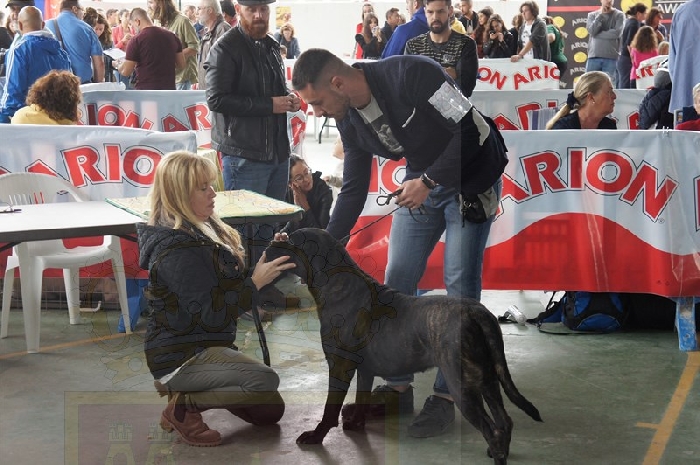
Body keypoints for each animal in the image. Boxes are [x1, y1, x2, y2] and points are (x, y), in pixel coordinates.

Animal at [264, 228, 542, 464]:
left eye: (291, 239)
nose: (269, 242)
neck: (336, 284)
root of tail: (478, 312)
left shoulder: (340, 366)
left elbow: (329, 408)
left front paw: (317, 435)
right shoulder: (364, 370)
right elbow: (362, 398)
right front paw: (356, 423)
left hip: (461, 383)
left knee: (492, 429)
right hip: (487, 379)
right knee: (504, 421)